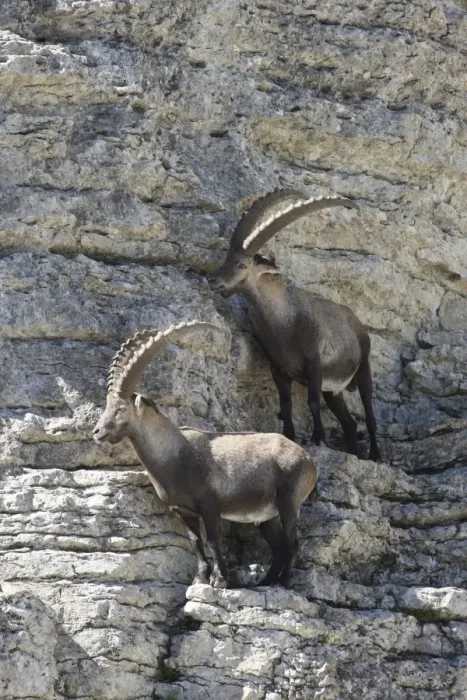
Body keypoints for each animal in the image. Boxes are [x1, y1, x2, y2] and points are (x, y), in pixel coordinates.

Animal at [93, 321, 318, 589]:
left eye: (121, 408)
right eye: (107, 406)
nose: (97, 432)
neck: (175, 456)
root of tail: (309, 460)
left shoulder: (209, 504)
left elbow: (212, 539)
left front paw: (219, 579)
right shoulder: (183, 511)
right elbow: (195, 541)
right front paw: (199, 578)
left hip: (288, 501)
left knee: (292, 544)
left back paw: (283, 583)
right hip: (266, 517)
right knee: (280, 546)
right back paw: (266, 582)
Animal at [209, 190, 381, 461]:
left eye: (242, 265)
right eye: (227, 259)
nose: (213, 280)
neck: (284, 323)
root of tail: (357, 323)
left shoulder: (313, 364)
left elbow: (311, 401)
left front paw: (318, 438)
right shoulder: (278, 368)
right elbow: (285, 403)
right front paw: (289, 436)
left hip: (363, 368)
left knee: (369, 413)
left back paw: (375, 454)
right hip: (333, 391)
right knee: (349, 423)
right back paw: (353, 452)